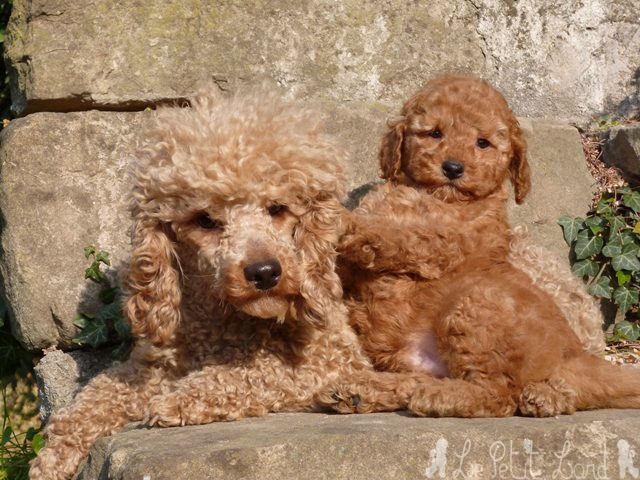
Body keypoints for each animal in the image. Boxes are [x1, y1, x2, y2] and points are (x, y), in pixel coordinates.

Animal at [31, 87, 430, 480]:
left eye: (277, 208)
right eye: (205, 220)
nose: (265, 272)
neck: (227, 323)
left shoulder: (328, 359)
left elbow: (259, 373)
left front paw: (182, 397)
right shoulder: (151, 365)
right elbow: (98, 393)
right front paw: (54, 454)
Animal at [332, 77, 636, 418]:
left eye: (482, 143)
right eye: (435, 133)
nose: (453, 168)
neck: (437, 197)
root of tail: (576, 353)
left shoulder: (443, 241)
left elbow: (394, 236)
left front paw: (339, 220)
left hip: (475, 304)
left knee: (498, 395)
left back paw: (438, 397)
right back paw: (365, 390)